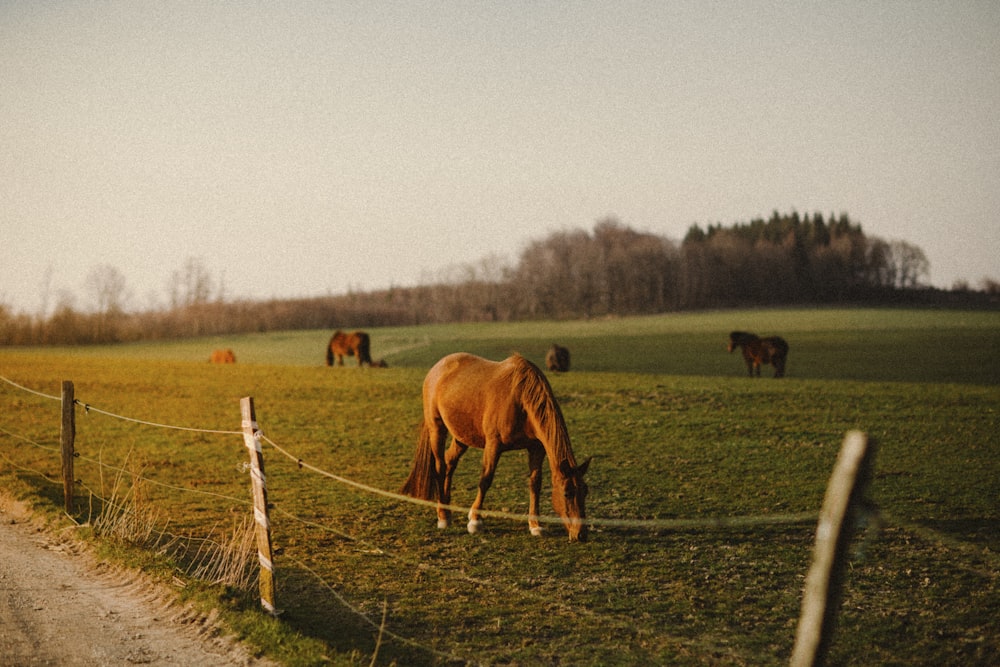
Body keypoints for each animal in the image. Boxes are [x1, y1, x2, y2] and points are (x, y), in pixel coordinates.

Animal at [400, 354, 588, 544]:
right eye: (567, 493)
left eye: (585, 491)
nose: (581, 534)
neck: (520, 398)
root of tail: (437, 368)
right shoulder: (493, 445)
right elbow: (485, 480)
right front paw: (475, 521)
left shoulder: (536, 448)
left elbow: (535, 483)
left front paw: (535, 525)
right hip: (437, 429)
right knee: (440, 467)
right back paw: (443, 516)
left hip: (461, 437)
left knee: (449, 463)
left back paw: (447, 507)